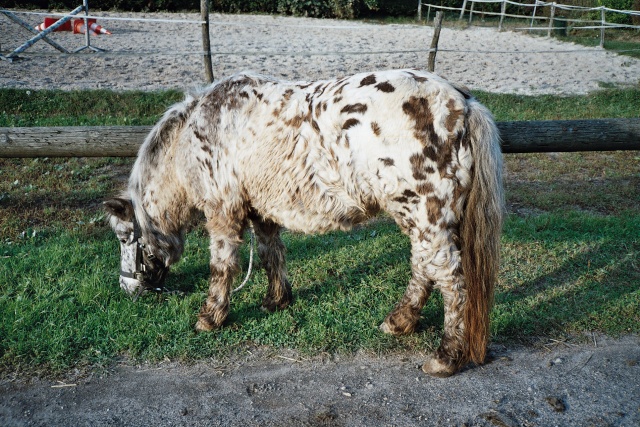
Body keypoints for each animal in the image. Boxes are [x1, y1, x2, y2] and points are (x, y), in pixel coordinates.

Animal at [106, 69, 504, 378]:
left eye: (125, 237)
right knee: (423, 268)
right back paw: (399, 321)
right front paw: (276, 300)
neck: (197, 132)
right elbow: (271, 253)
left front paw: (211, 316)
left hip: (426, 215)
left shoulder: (223, 210)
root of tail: (462, 103)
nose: (128, 288)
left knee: (450, 280)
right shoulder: (261, 210)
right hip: (420, 216)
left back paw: (446, 356)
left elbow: (222, 266)